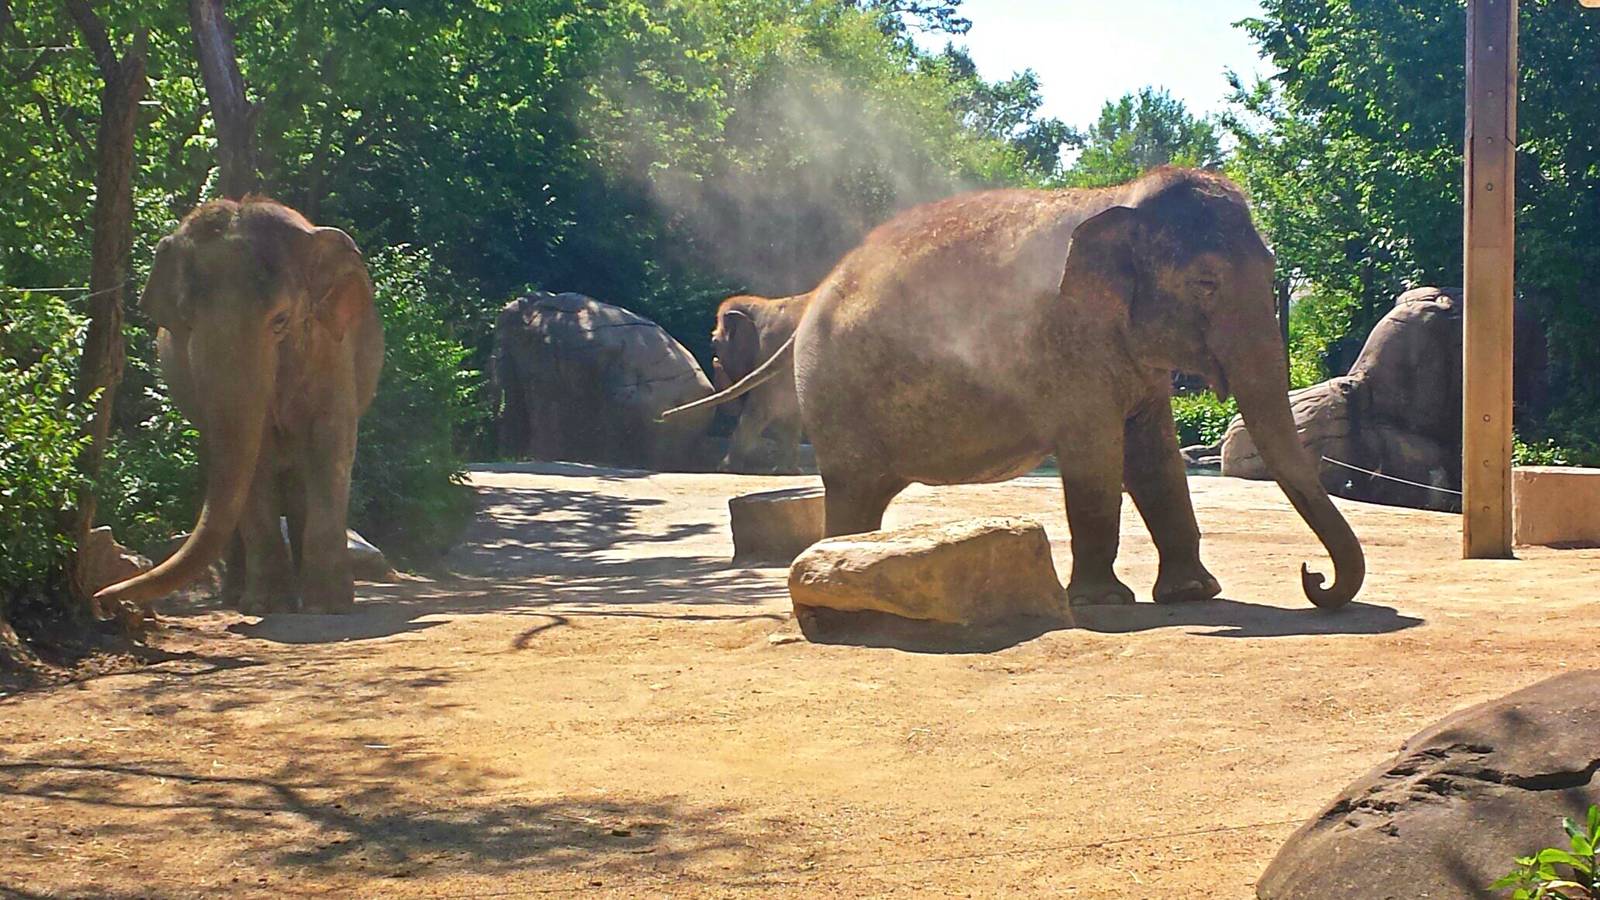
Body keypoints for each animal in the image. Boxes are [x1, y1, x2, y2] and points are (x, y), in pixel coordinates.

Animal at [93, 198, 384, 615]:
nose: (101, 601)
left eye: (281, 320)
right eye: (186, 321)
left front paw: (330, 607)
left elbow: (331, 442)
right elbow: (254, 460)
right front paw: (266, 606)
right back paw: (237, 597)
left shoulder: (331, 351)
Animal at [709, 293, 810, 472]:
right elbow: (790, 413)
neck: (764, 305)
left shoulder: (770, 352)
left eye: (714, 343)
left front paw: (724, 469)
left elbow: (759, 409)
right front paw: (786, 471)